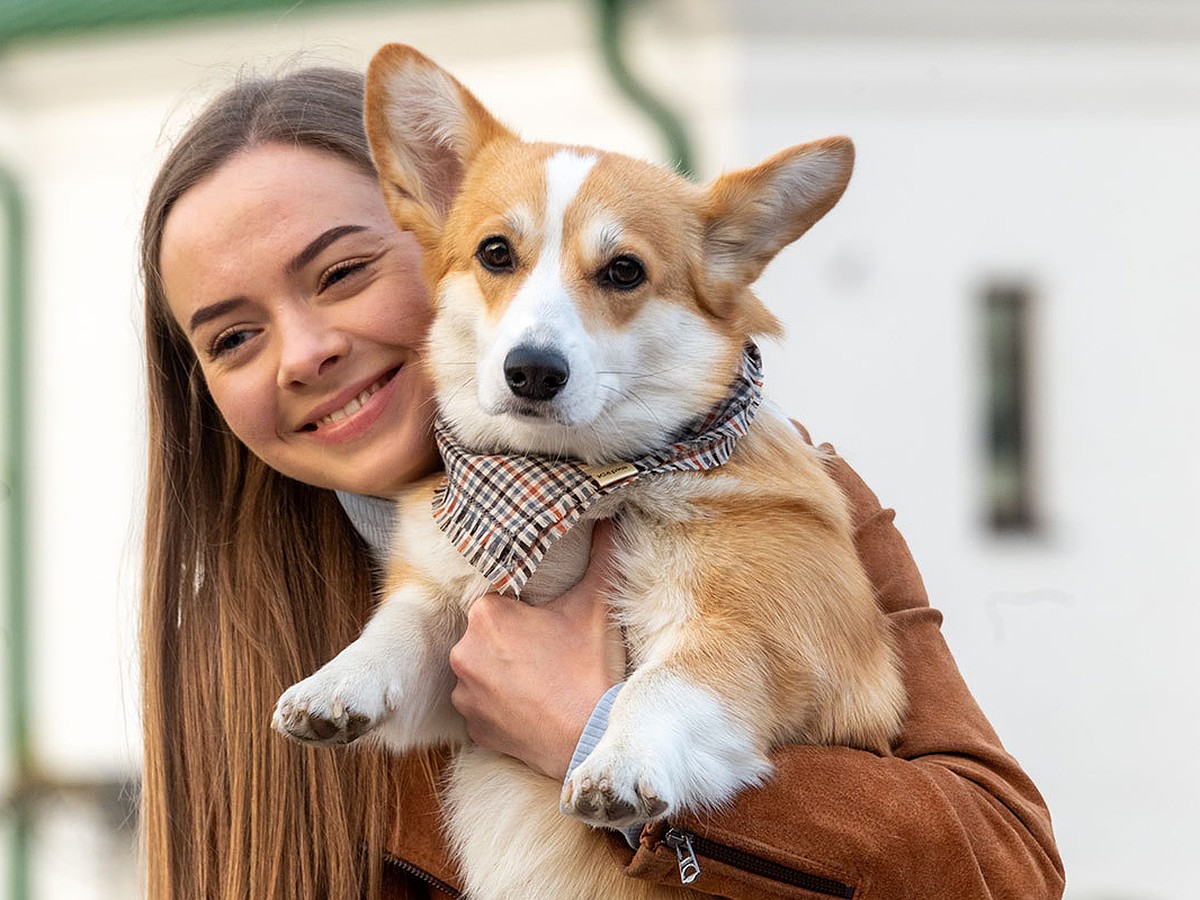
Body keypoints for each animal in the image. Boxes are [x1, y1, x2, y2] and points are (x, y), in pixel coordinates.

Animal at [274, 44, 902, 900]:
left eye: (624, 271)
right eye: (495, 253)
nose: (532, 371)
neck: (571, 489)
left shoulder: (769, 636)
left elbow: (662, 682)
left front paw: (623, 763)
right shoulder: (456, 663)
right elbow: (400, 627)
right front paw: (336, 685)